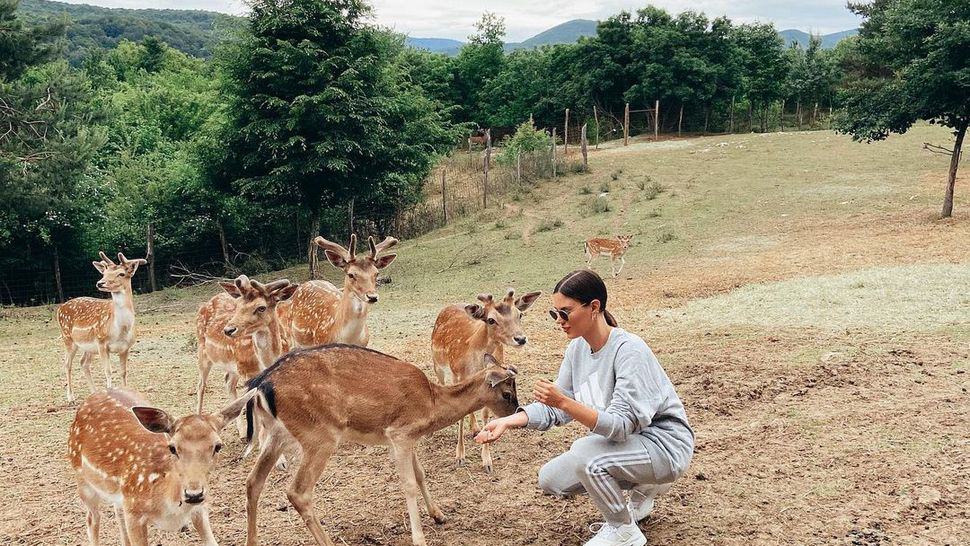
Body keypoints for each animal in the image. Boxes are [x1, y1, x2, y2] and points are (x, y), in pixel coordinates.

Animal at [58, 251, 148, 400]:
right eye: (104, 273)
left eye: (121, 273)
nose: (100, 283)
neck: (121, 330)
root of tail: (59, 308)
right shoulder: (101, 343)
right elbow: (108, 371)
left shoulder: (126, 347)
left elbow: (123, 372)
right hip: (68, 338)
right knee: (67, 364)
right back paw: (71, 397)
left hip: (88, 346)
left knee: (83, 363)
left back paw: (94, 393)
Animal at [69, 386, 255, 544]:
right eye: (172, 447)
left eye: (218, 446)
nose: (193, 494)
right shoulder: (134, 513)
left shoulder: (200, 509)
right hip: (82, 481)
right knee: (92, 519)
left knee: (116, 511)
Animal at [192, 276, 292, 438]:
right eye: (238, 306)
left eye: (261, 307)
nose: (228, 329)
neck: (267, 361)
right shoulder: (247, 371)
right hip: (204, 353)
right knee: (201, 385)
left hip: (233, 366)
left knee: (228, 382)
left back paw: (242, 431)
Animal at [239, 344, 520, 544]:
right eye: (507, 393)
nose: (517, 411)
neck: (431, 405)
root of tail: (260, 385)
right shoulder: (400, 432)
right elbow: (408, 484)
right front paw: (419, 538)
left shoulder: (404, 438)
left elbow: (420, 473)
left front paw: (439, 515)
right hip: (319, 435)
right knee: (298, 491)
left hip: (278, 435)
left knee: (253, 481)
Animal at [432, 286, 540, 470]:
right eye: (491, 320)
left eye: (520, 314)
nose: (520, 338)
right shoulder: (458, 376)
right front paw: (459, 456)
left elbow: (485, 413)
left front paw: (487, 461)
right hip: (438, 365)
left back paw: (475, 428)